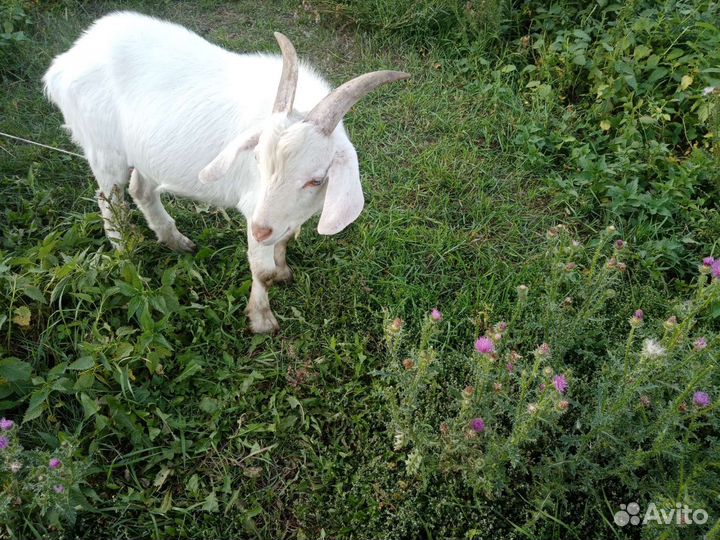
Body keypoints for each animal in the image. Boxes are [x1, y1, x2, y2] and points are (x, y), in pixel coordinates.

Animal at [43, 11, 408, 334]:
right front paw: (262, 319)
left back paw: (177, 242)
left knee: (141, 190)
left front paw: (284, 270)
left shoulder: (284, 215)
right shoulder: (254, 205)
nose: (259, 230)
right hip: (105, 151)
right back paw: (124, 255)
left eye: (316, 180)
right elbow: (261, 269)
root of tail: (64, 63)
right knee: (110, 200)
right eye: (257, 159)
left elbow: (283, 238)